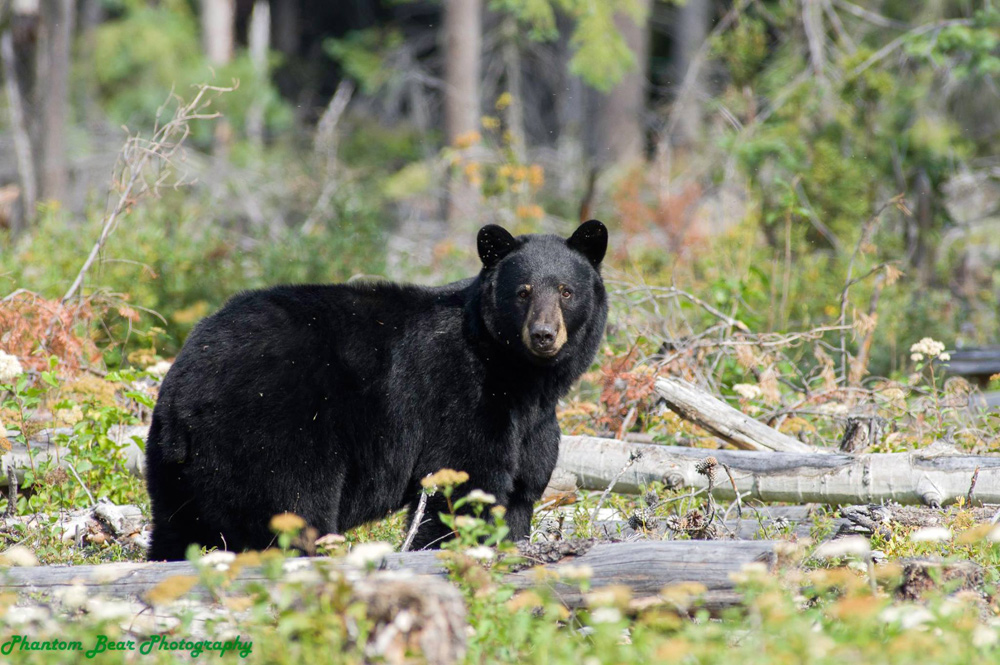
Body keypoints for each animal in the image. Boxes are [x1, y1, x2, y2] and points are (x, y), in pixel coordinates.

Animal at [145, 220, 604, 556]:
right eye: (522, 292)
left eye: (566, 291)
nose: (543, 334)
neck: (520, 376)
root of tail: (182, 386)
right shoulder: (463, 394)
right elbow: (462, 483)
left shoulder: (533, 424)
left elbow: (521, 492)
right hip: (272, 434)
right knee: (287, 511)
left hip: (180, 469)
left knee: (177, 526)